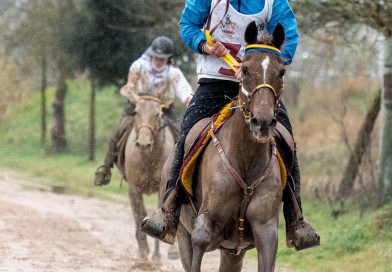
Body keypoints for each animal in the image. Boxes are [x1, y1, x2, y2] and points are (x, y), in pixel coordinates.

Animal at [125, 95, 175, 260]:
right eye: (136, 112)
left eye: (157, 114)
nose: (144, 143)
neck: (148, 158)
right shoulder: (133, 188)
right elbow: (140, 214)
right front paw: (142, 256)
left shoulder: (162, 188)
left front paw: (157, 257)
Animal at [162, 22, 288, 270]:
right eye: (245, 70)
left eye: (281, 72)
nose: (263, 122)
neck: (244, 161)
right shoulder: (204, 224)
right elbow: (200, 241)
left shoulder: (266, 229)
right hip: (182, 233)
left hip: (233, 252)